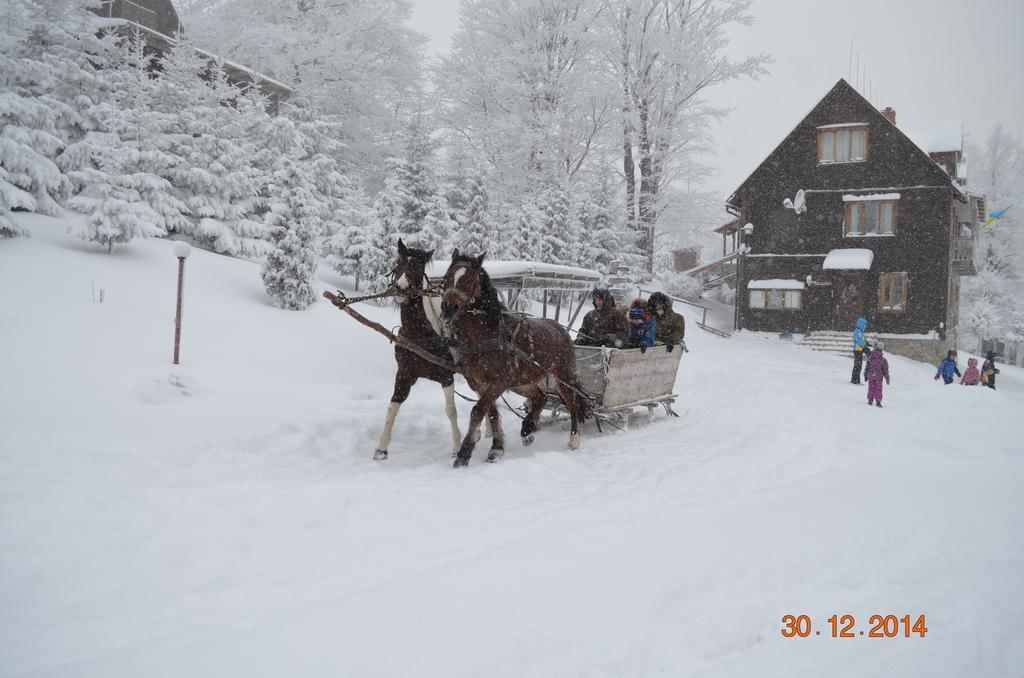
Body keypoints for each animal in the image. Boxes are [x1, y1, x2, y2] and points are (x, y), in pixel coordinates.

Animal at [370, 240, 462, 462]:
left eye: (418, 268)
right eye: (398, 263)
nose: (400, 288)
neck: (419, 334)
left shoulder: (446, 376)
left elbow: (451, 410)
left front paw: (457, 447)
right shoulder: (405, 374)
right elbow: (393, 407)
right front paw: (381, 448)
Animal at [438, 249, 589, 467]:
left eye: (470, 279)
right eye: (447, 277)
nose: (448, 308)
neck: (486, 334)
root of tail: (562, 329)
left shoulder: (499, 382)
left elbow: (478, 410)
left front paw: (464, 453)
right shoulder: (479, 384)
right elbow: (491, 413)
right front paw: (496, 448)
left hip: (563, 378)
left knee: (573, 404)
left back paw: (574, 439)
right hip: (522, 381)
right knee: (542, 397)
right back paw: (528, 429)